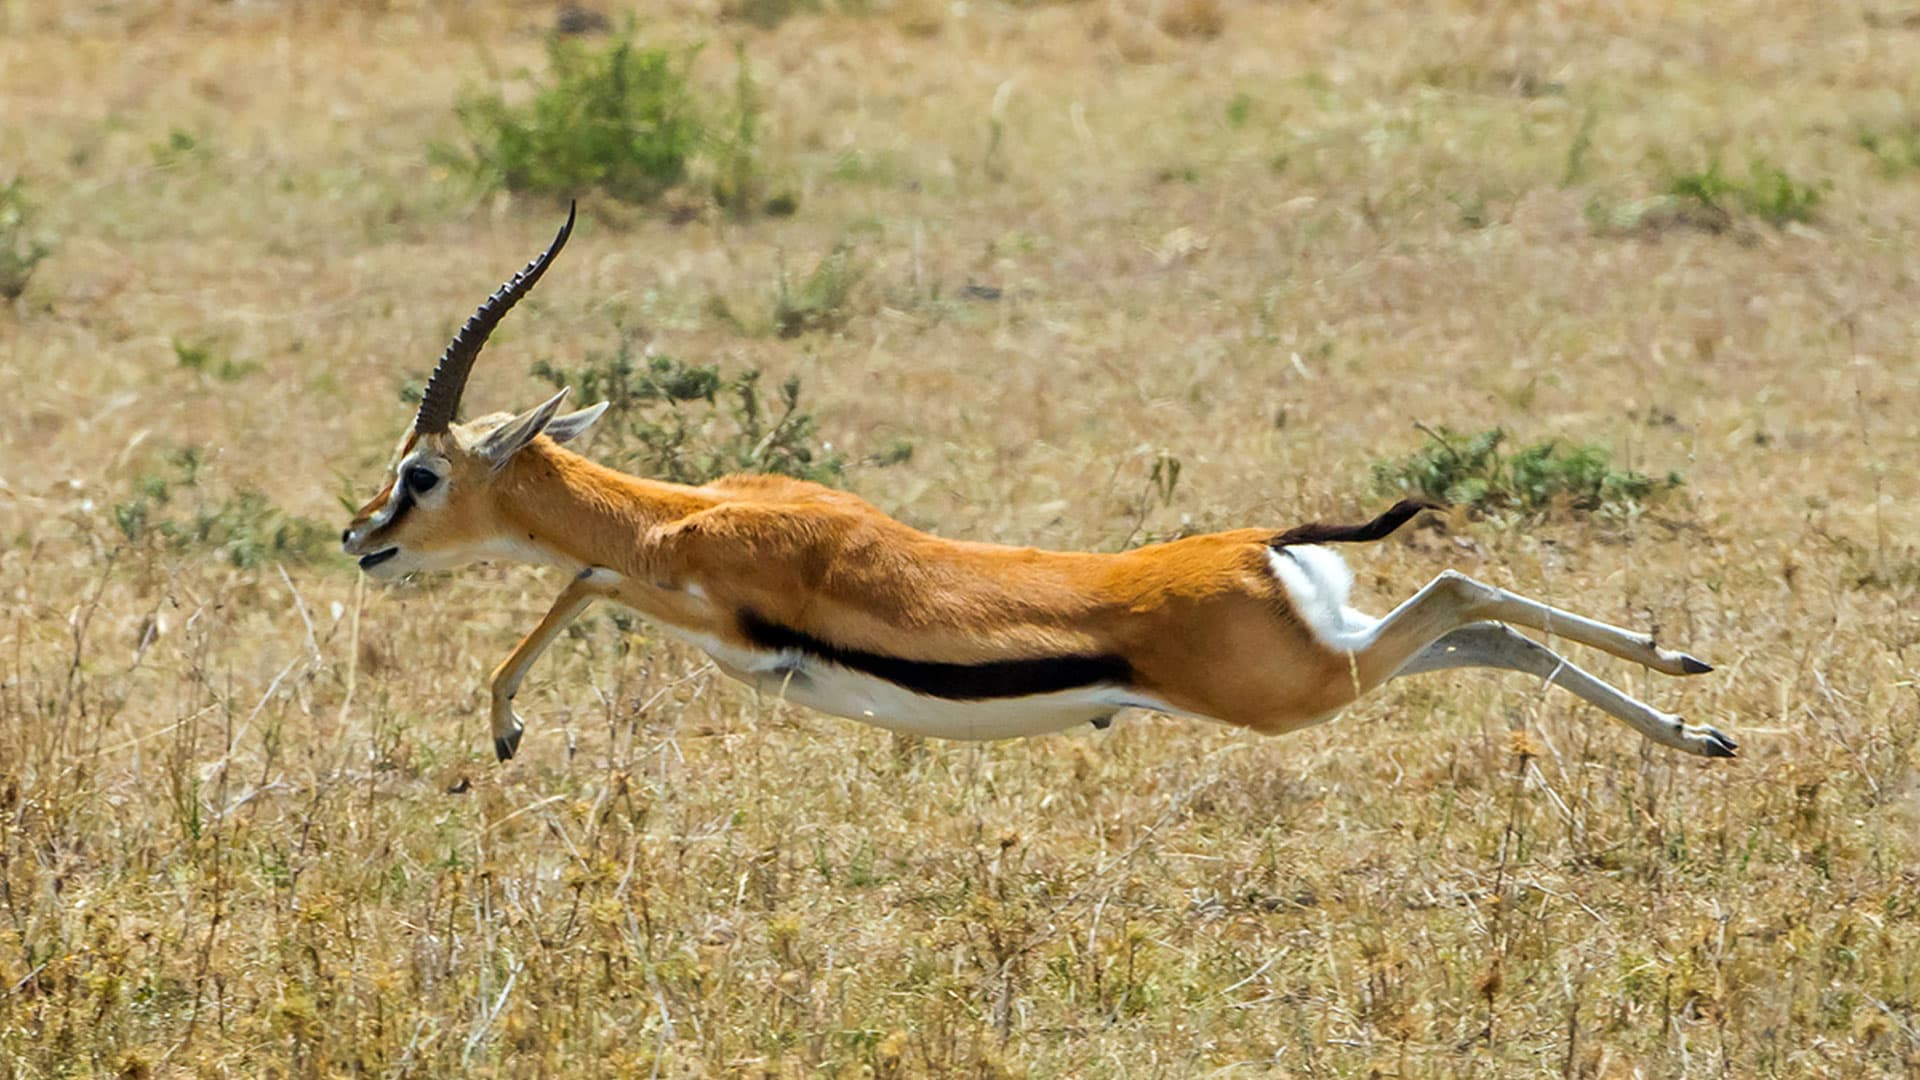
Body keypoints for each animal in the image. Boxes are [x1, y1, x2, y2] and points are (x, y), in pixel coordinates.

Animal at [341, 206, 1737, 764]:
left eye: (420, 471)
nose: (358, 536)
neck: (696, 510)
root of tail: (1256, 542)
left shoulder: (709, 616)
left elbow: (581, 577)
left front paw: (507, 730)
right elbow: (579, 579)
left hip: (1298, 688)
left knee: (1455, 591)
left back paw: (1691, 698)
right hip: (1330, 658)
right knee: (1480, 627)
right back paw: (1696, 713)